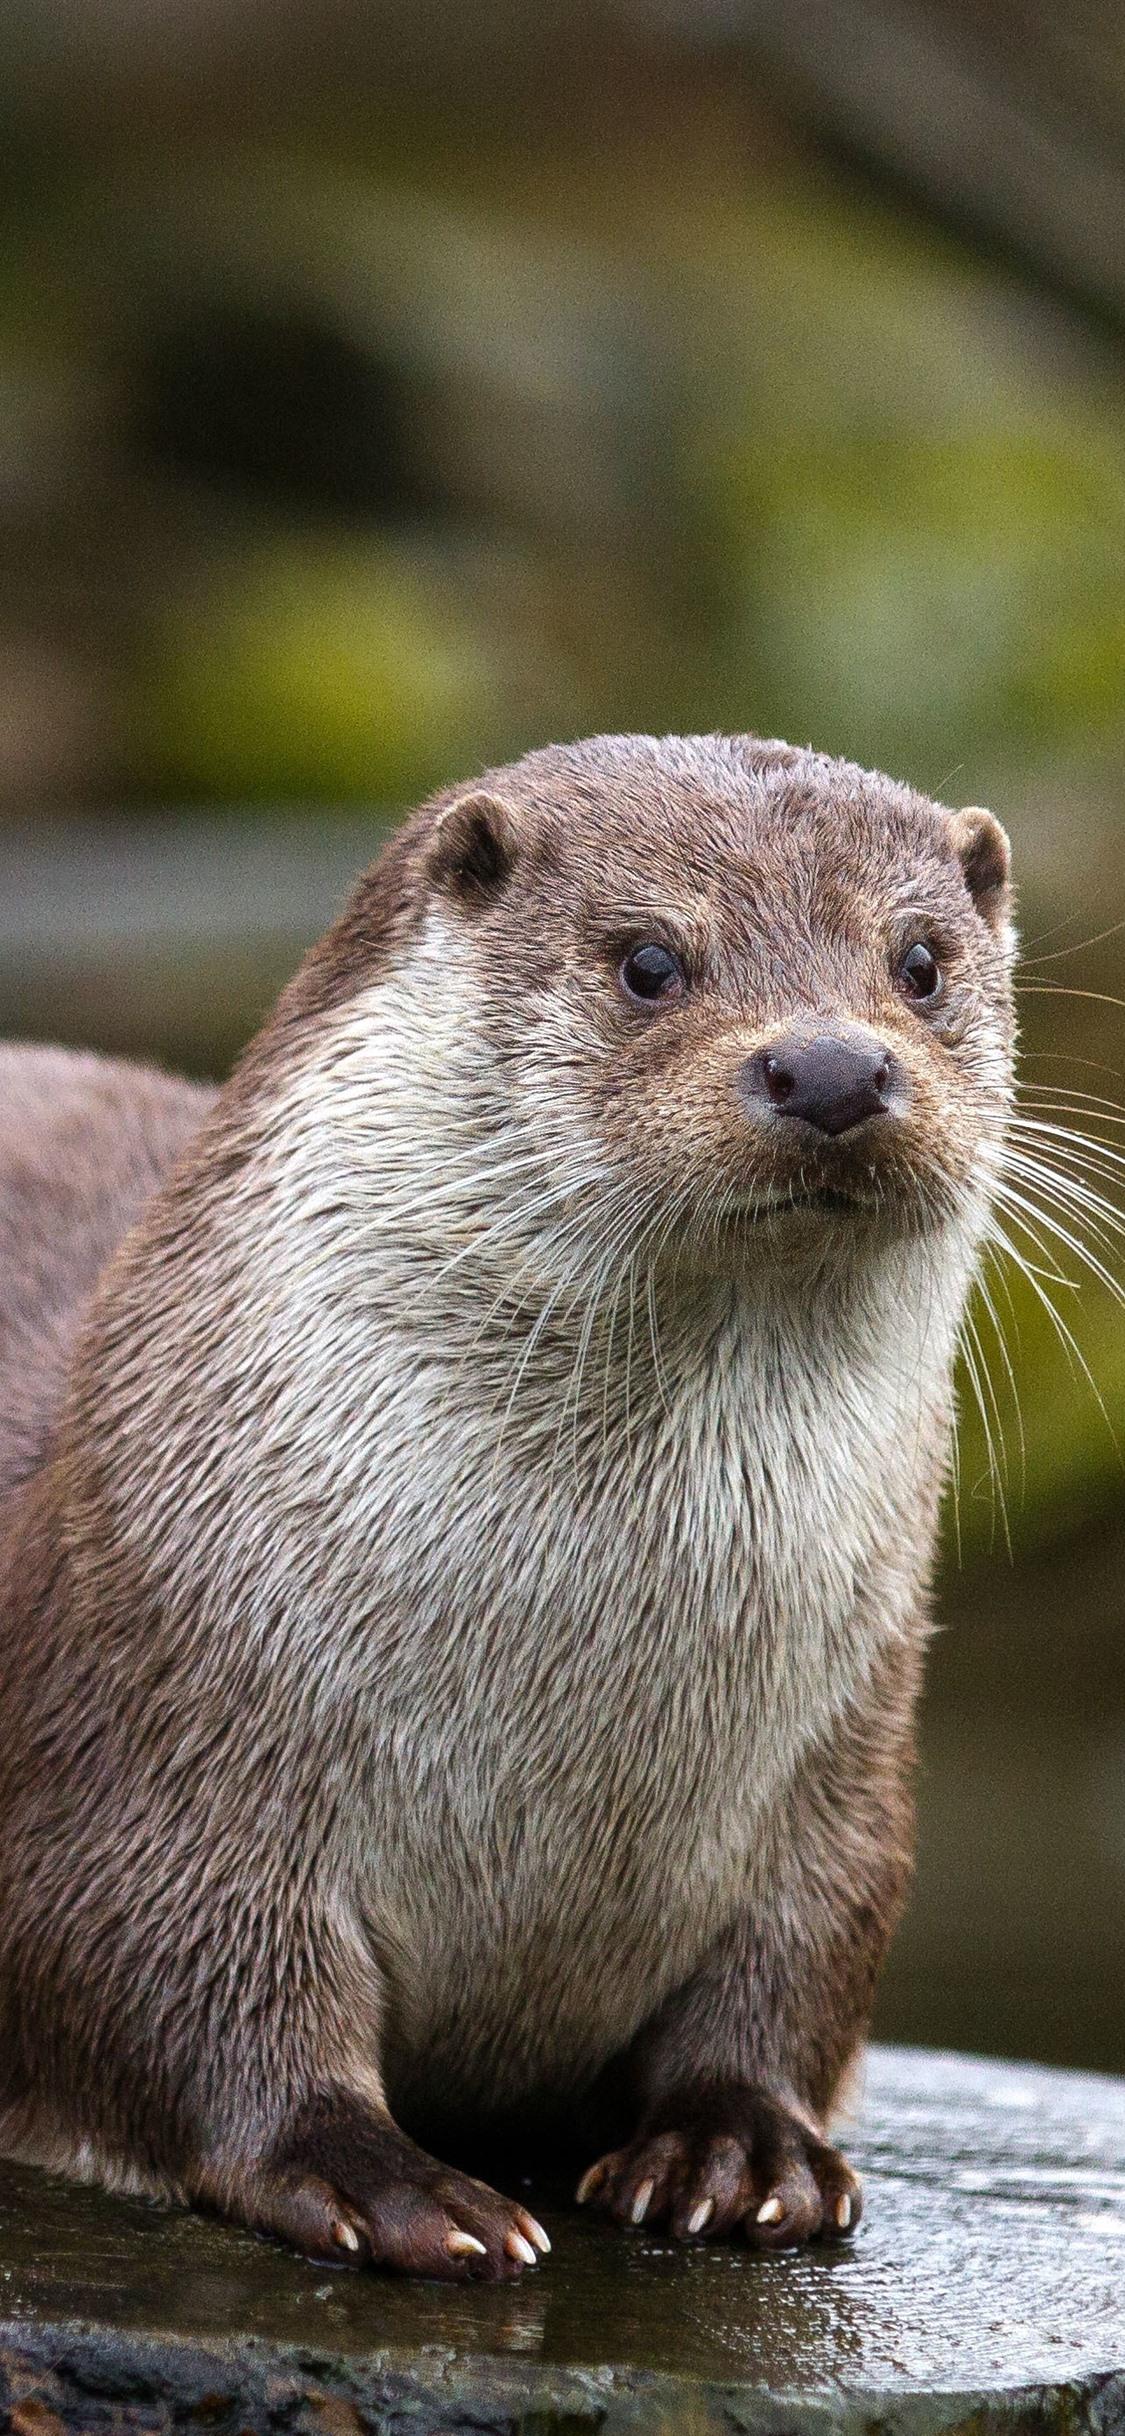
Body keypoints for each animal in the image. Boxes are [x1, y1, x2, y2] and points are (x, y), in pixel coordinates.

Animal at [0, 734, 1014, 2279]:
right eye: (649, 961)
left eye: (919, 962)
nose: (835, 1064)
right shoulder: (148, 1728)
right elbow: (177, 1979)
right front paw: (374, 2176)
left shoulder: (843, 1755)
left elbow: (798, 1965)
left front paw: (741, 2148)